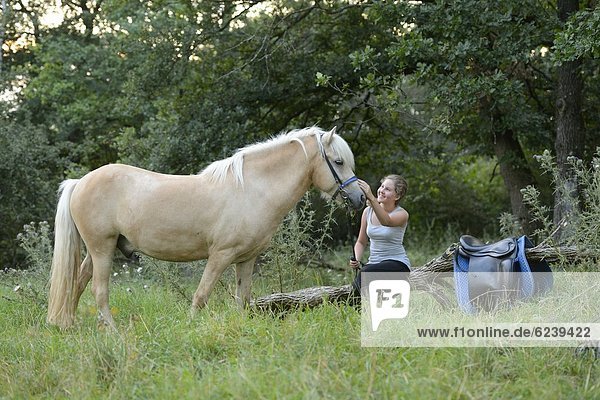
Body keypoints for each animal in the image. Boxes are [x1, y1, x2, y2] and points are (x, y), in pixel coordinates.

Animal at [47, 126, 366, 328]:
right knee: (99, 292)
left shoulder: (246, 259)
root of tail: (81, 182)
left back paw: (68, 326)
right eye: (338, 161)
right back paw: (113, 333)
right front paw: (190, 327)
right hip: (102, 249)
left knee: (77, 284)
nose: (360, 197)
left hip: (98, 251)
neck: (251, 189)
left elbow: (243, 298)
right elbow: (201, 296)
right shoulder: (220, 255)